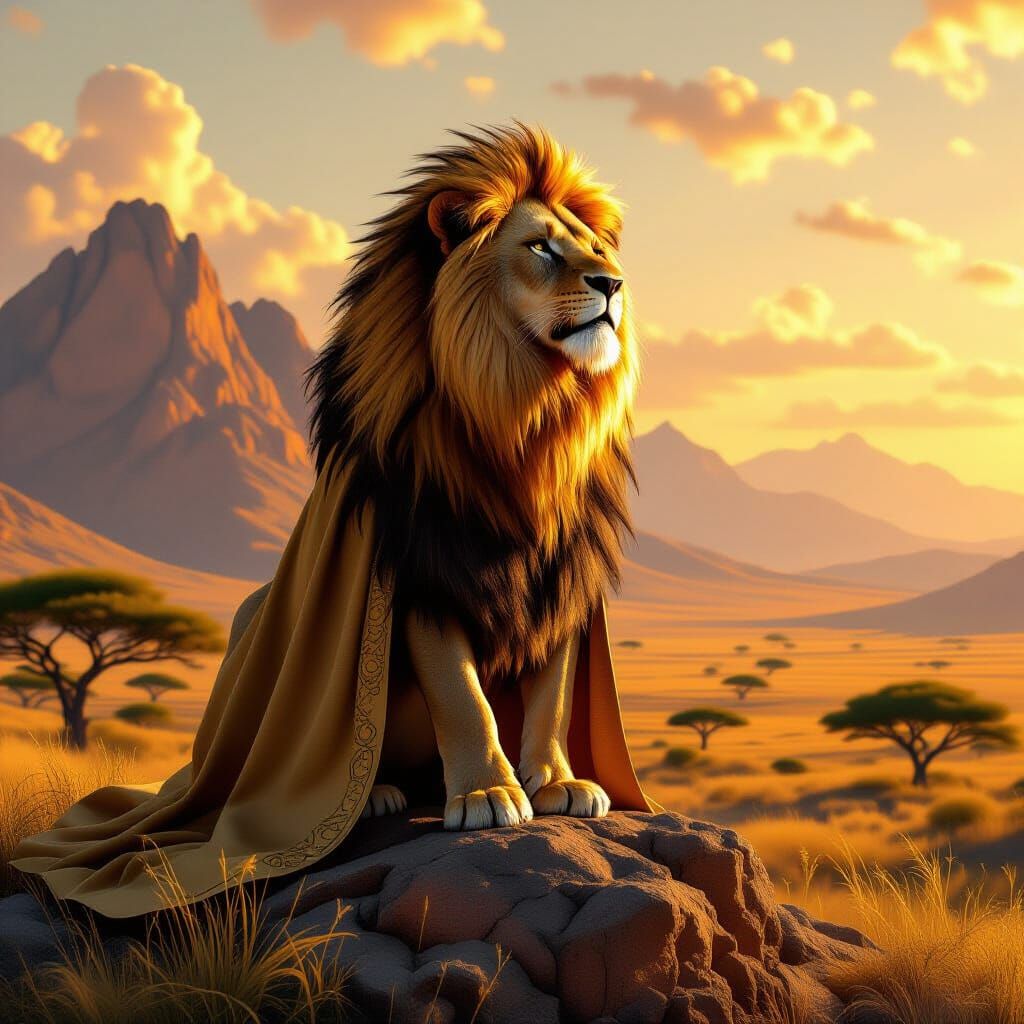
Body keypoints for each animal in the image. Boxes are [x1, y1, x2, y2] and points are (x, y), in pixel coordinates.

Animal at [231, 124, 638, 833]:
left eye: (593, 248)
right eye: (539, 247)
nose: (612, 283)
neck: (525, 421)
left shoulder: (564, 576)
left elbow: (554, 694)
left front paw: (559, 781)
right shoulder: (423, 567)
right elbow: (461, 695)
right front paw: (485, 794)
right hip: (253, 613)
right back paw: (373, 796)